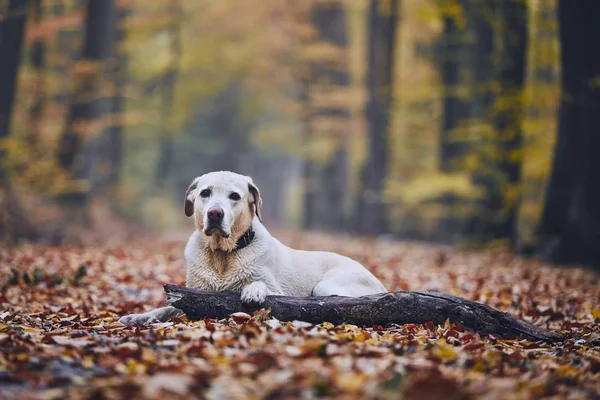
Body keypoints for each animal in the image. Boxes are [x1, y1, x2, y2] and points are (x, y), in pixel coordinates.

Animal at [119, 171, 386, 324]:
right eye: (205, 193)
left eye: (235, 196)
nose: (215, 213)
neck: (222, 255)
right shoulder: (191, 294)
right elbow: (166, 308)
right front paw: (137, 317)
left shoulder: (279, 290)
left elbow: (260, 285)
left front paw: (253, 290)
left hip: (327, 286)